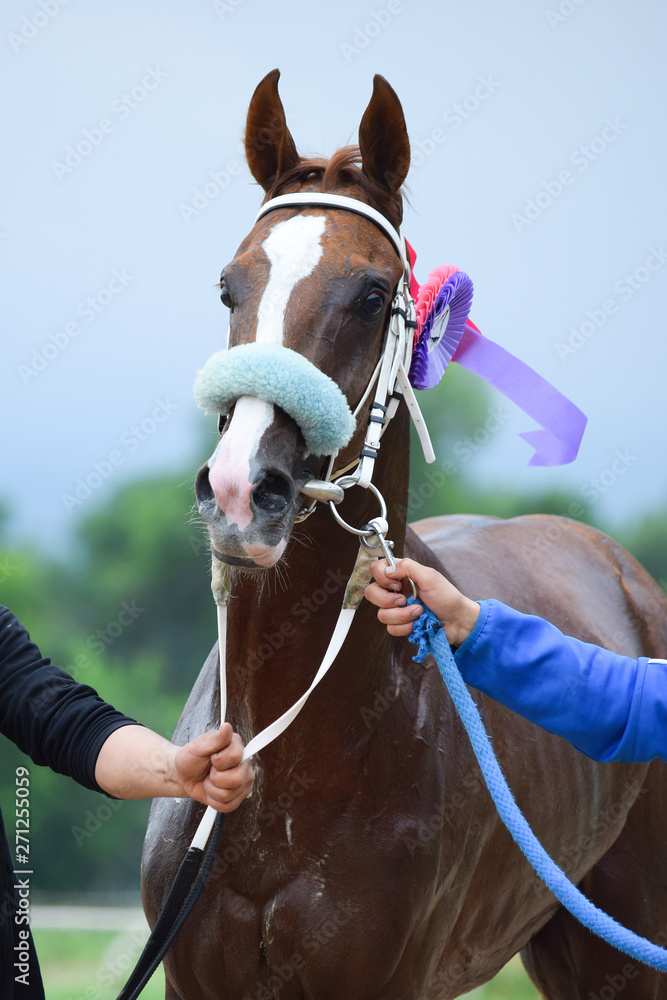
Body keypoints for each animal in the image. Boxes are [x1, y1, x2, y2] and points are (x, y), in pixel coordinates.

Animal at [141, 69, 667, 999]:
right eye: (228, 287)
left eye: (371, 295)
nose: (241, 491)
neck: (284, 774)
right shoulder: (192, 977)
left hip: (625, 938)